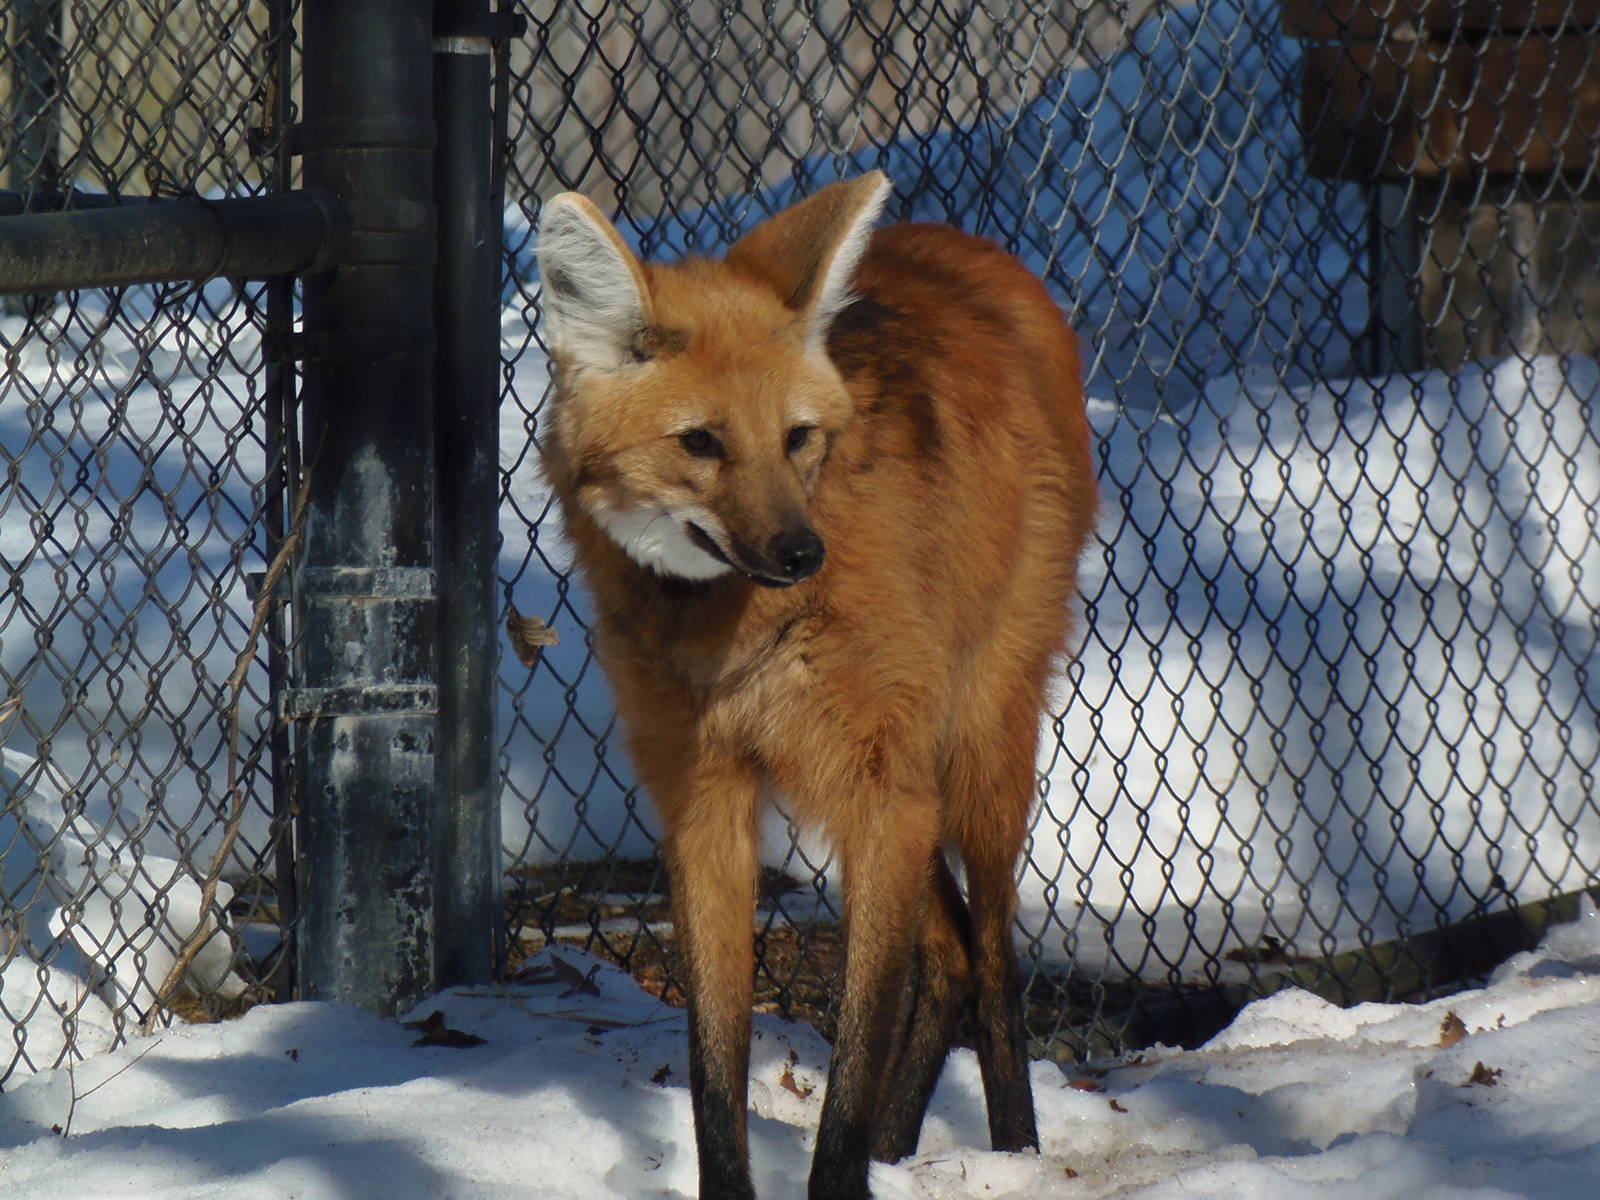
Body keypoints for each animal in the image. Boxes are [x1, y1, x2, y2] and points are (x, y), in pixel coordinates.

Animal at [535, 171, 1097, 1199]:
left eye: (796, 437)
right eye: (701, 443)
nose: (802, 553)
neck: (725, 629)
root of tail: (972, 249)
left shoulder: (882, 791)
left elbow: (853, 1055)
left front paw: (843, 1173)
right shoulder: (705, 797)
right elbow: (715, 1065)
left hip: (972, 746)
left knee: (993, 958)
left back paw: (1015, 1155)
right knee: (951, 957)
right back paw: (904, 1152)